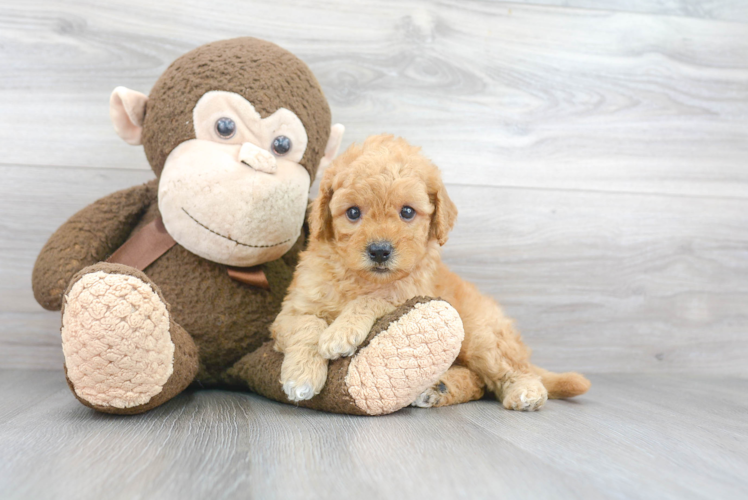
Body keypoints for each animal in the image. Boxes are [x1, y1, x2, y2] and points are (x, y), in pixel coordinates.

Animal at [270, 134, 592, 410]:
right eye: (352, 213)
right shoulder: (291, 311)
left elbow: (375, 299)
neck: (362, 279)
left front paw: (340, 332)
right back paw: (438, 389)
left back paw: (525, 392)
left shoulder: (410, 291)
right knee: (478, 382)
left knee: (511, 370)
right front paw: (302, 375)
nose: (379, 251)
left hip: (482, 336)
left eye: (407, 212)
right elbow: (307, 325)